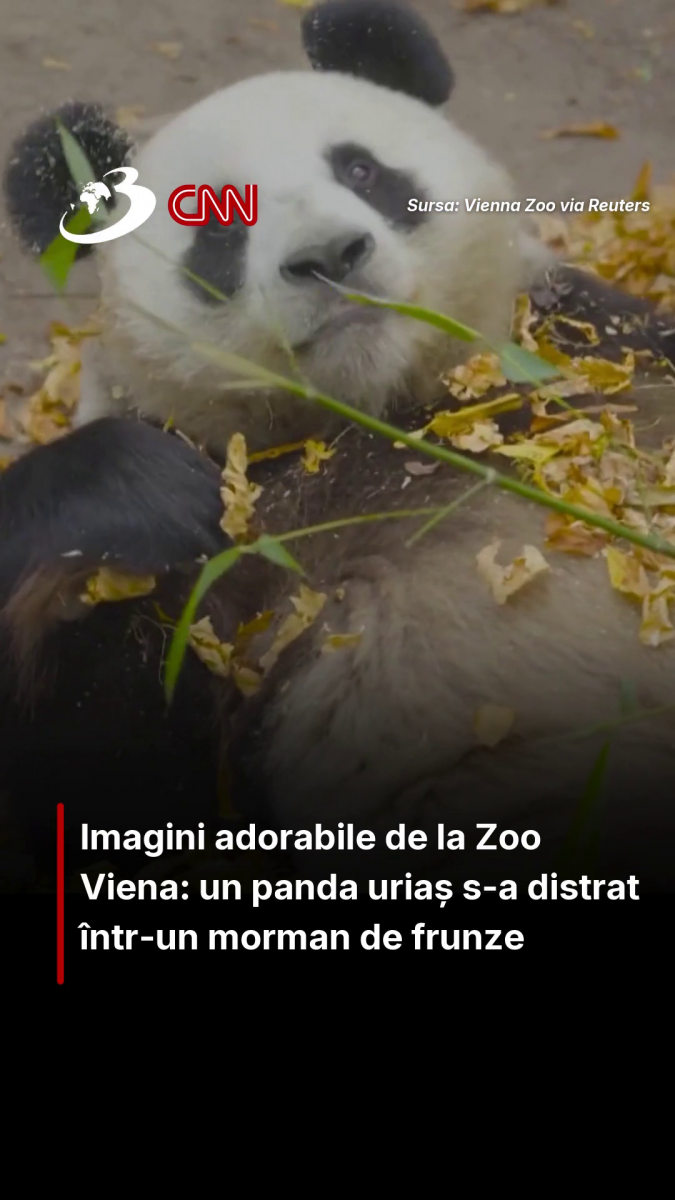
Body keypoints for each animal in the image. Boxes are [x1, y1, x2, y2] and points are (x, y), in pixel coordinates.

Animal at [2, 0, 675, 887]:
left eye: (360, 171)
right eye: (213, 222)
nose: (326, 257)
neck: (378, 418)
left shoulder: (593, 349)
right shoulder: (201, 573)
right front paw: (138, 485)